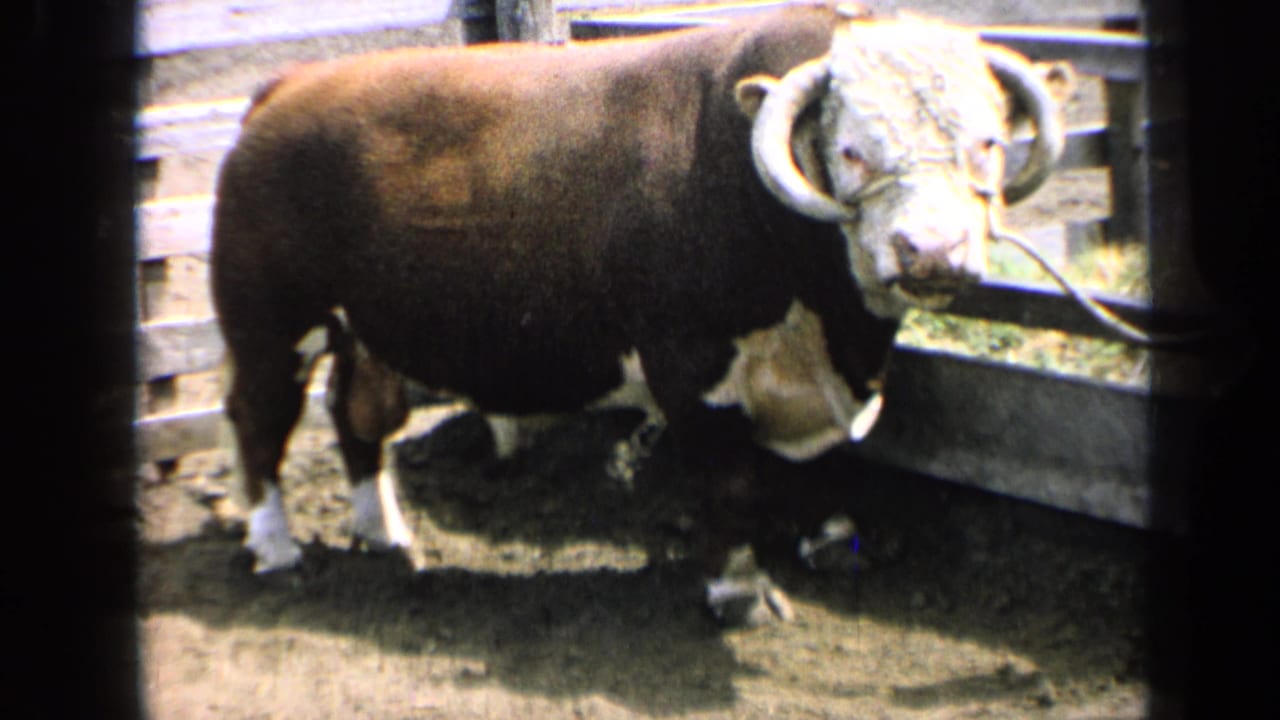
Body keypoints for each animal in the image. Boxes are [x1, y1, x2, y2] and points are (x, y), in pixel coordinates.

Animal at [211, 2, 1065, 626]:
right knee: (259, 420)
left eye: (988, 143)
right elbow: (730, 481)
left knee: (355, 415)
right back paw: (277, 548)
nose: (933, 251)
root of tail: (288, 86)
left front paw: (827, 544)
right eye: (852, 151)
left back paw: (382, 531)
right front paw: (738, 592)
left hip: (361, 328)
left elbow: (824, 464)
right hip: (269, 324)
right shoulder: (692, 368)